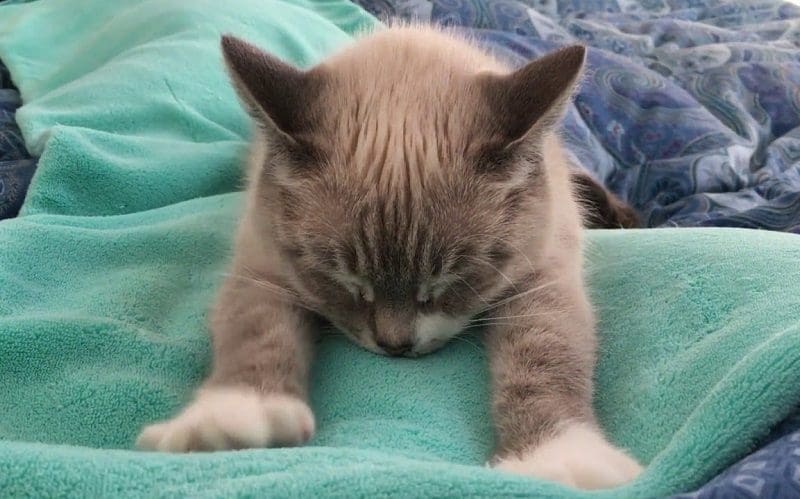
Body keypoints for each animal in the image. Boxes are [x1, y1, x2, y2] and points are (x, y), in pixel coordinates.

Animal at [134, 25, 640, 490]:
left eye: (451, 282)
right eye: (345, 281)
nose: (395, 347)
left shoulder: (543, 276)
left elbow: (546, 357)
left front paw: (561, 459)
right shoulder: (264, 266)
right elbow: (256, 335)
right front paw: (234, 421)